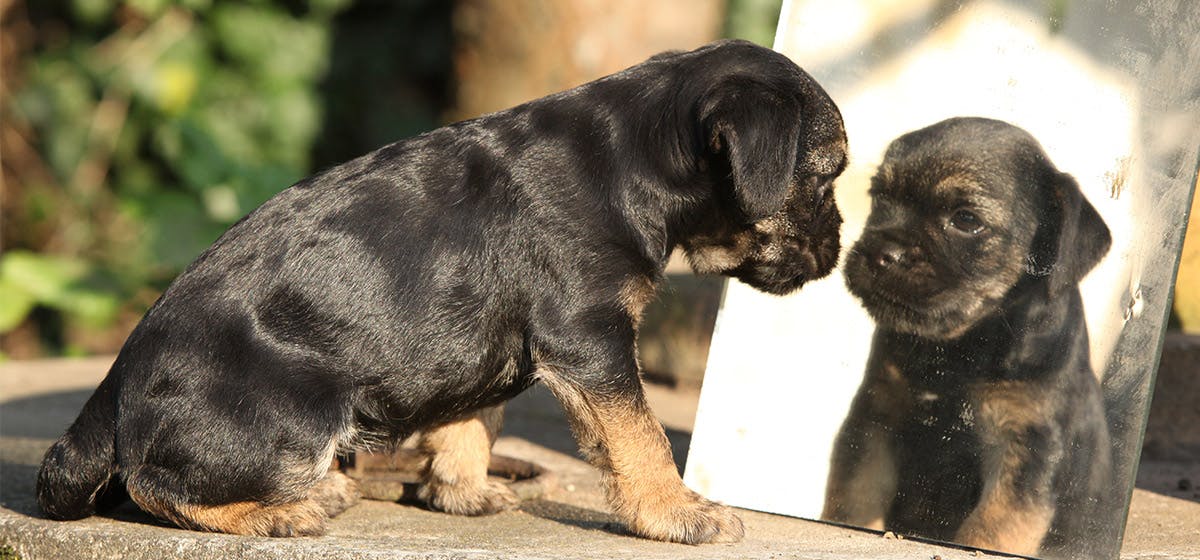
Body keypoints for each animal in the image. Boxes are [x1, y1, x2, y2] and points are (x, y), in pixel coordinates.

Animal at [35, 40, 844, 549]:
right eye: (827, 176)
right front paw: (676, 513)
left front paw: (460, 492)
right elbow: (640, 438)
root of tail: (114, 388)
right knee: (152, 483)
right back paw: (287, 511)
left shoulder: (490, 344)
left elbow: (470, 418)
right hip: (299, 414)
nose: (838, 252)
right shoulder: (593, 340)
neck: (633, 158)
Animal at [825, 116, 1113, 558]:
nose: (880, 253)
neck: (962, 352)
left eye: (966, 220)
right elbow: (854, 500)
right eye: (879, 197)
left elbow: (988, 531)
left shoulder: (1026, 452)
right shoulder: (876, 419)